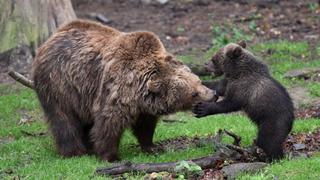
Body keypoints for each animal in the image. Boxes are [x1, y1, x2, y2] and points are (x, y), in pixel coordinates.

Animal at [31, 19, 215, 162]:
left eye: (199, 81)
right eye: (193, 93)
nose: (213, 95)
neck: (139, 92)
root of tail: (50, 39)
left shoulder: (144, 108)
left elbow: (145, 127)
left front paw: (152, 147)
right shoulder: (116, 91)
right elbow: (109, 123)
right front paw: (111, 156)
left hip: (82, 94)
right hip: (59, 84)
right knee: (64, 119)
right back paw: (74, 151)